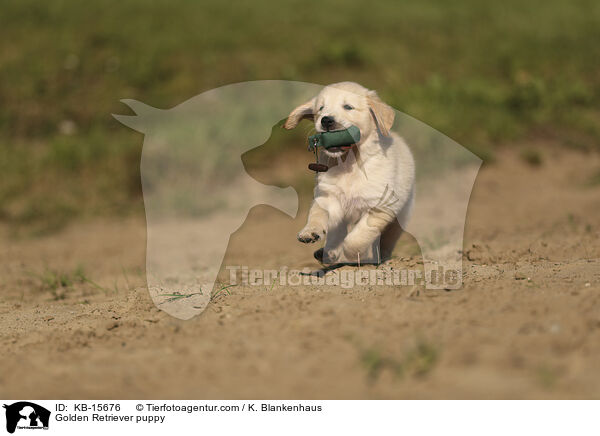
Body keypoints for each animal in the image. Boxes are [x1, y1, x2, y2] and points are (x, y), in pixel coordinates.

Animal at [284, 82, 414, 266]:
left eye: (348, 107)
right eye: (321, 108)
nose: (326, 120)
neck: (349, 163)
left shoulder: (380, 206)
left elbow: (358, 237)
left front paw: (352, 254)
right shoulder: (327, 196)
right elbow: (317, 214)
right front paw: (310, 231)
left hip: (400, 216)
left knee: (386, 241)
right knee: (336, 233)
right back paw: (327, 253)